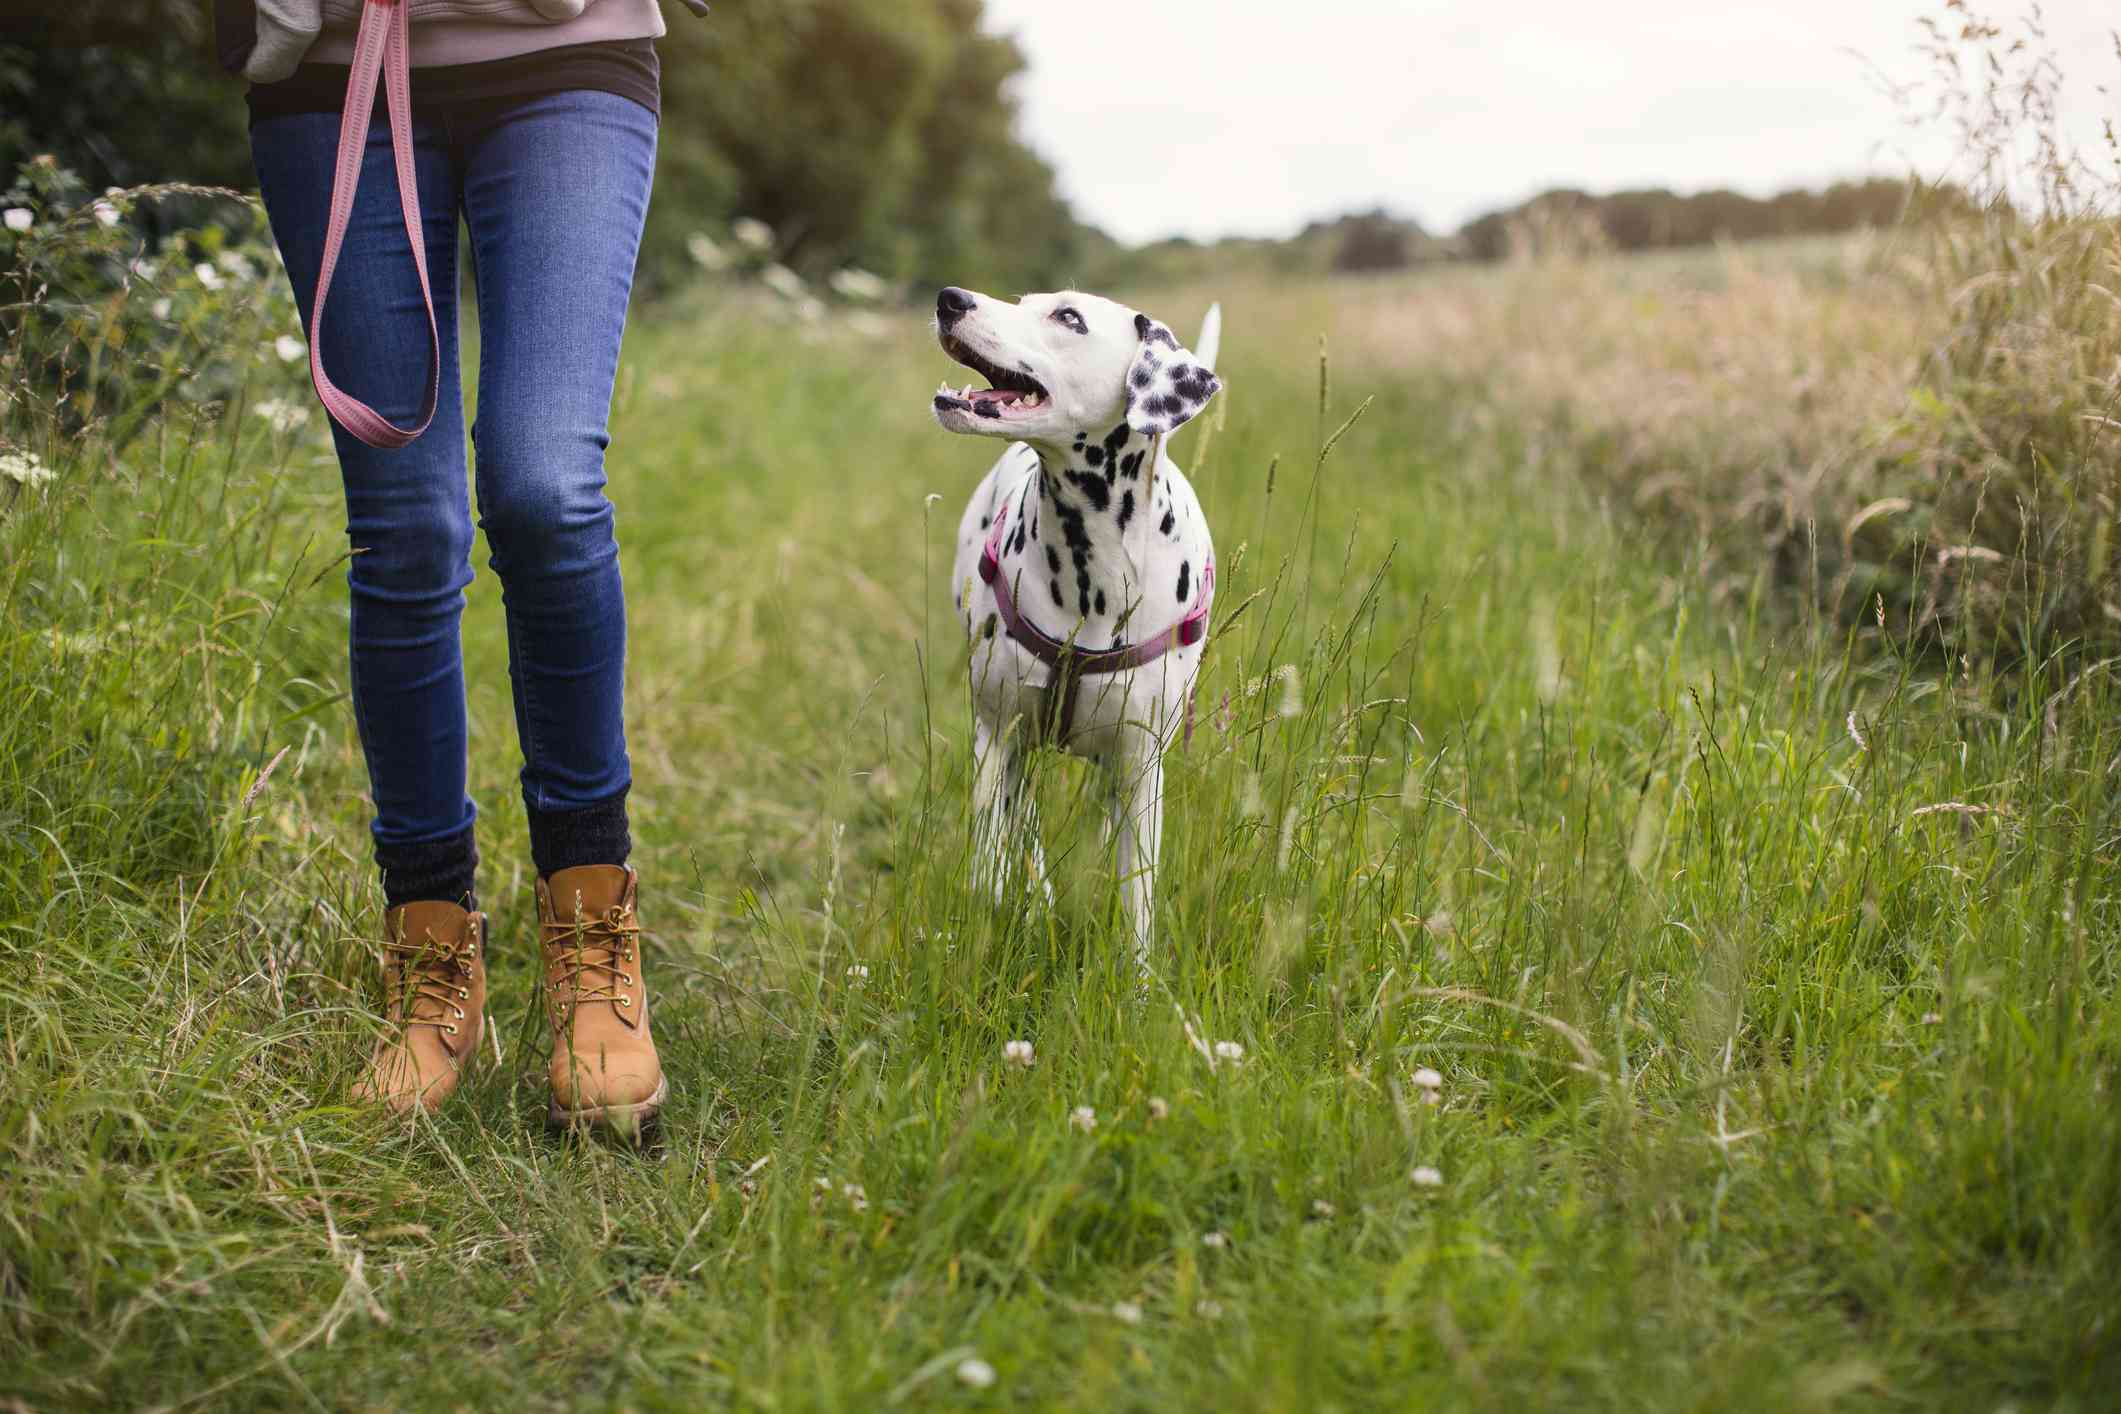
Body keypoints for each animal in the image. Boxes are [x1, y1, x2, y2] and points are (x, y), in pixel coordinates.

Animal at [933, 288, 1221, 975]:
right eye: (1022, 300)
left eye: (1068, 317)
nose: (951, 298)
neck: (1093, 573)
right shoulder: (997, 735)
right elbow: (992, 862)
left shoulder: (1142, 770)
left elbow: (1138, 901)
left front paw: (1138, 986)